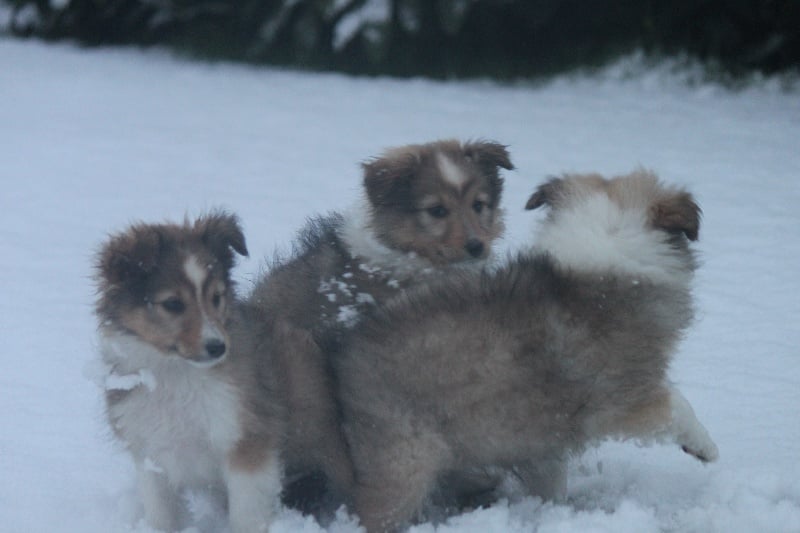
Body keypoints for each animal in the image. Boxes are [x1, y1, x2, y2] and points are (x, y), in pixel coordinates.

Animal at [96, 213, 284, 532]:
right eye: (173, 304)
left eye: (216, 297)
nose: (218, 347)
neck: (176, 373)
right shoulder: (150, 451)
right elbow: (161, 515)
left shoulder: (245, 441)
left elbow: (246, 515)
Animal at [334, 171, 720, 532]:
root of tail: (341, 358)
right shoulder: (625, 397)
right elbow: (676, 406)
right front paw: (705, 447)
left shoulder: (543, 435)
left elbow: (550, 479)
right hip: (404, 463)